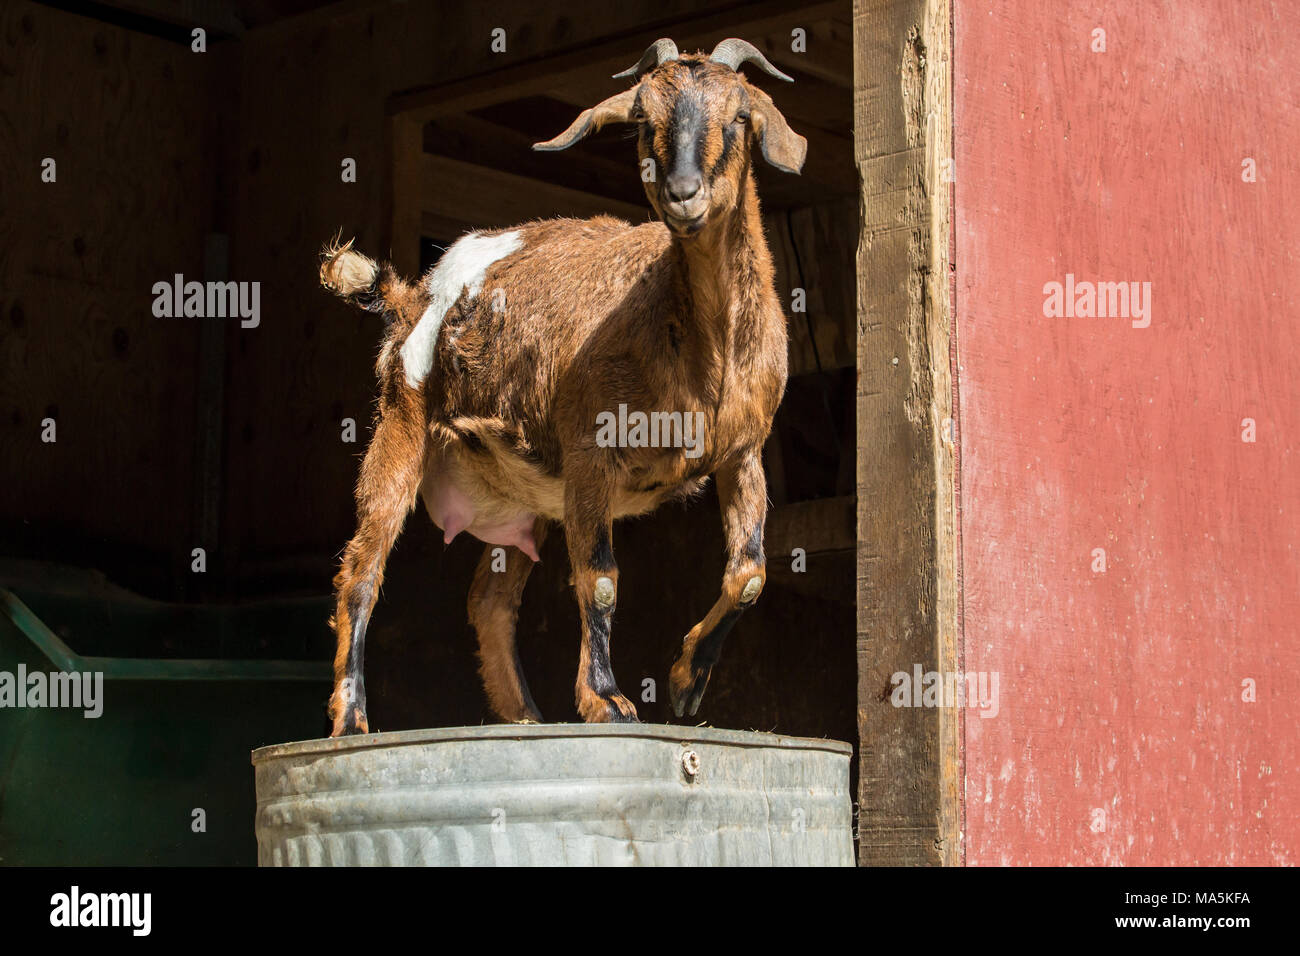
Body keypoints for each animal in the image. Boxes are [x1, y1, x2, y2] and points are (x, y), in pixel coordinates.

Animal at [317, 37, 800, 738]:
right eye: (641, 120)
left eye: (739, 115)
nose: (683, 194)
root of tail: (411, 297)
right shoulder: (591, 453)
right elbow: (599, 579)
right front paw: (607, 699)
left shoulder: (743, 452)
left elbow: (751, 573)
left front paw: (687, 682)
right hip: (402, 423)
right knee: (361, 567)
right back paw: (351, 718)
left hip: (528, 492)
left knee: (489, 601)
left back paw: (525, 718)